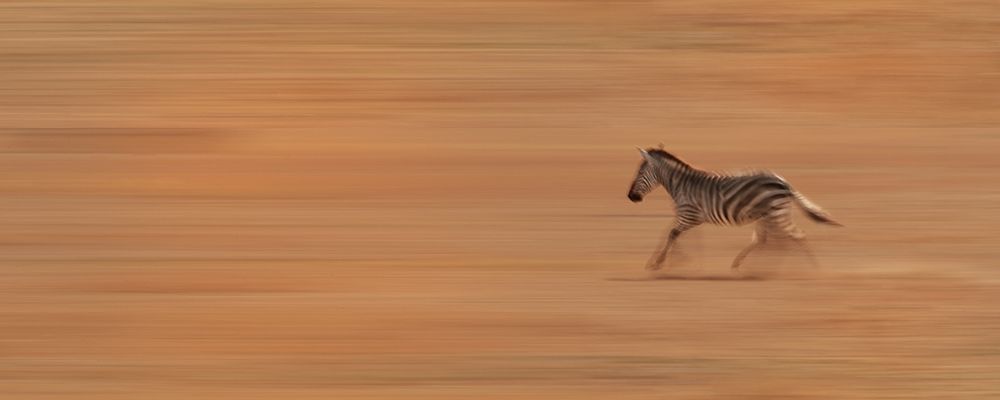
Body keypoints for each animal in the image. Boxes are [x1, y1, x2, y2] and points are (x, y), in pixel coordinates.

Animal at [627, 146, 841, 271]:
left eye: (640, 173)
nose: (631, 197)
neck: (681, 185)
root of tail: (784, 182)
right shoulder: (686, 215)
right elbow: (669, 234)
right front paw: (671, 260)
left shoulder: (690, 215)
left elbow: (672, 234)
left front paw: (659, 262)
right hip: (767, 215)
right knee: (765, 240)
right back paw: (743, 265)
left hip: (776, 213)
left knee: (795, 236)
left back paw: (812, 268)